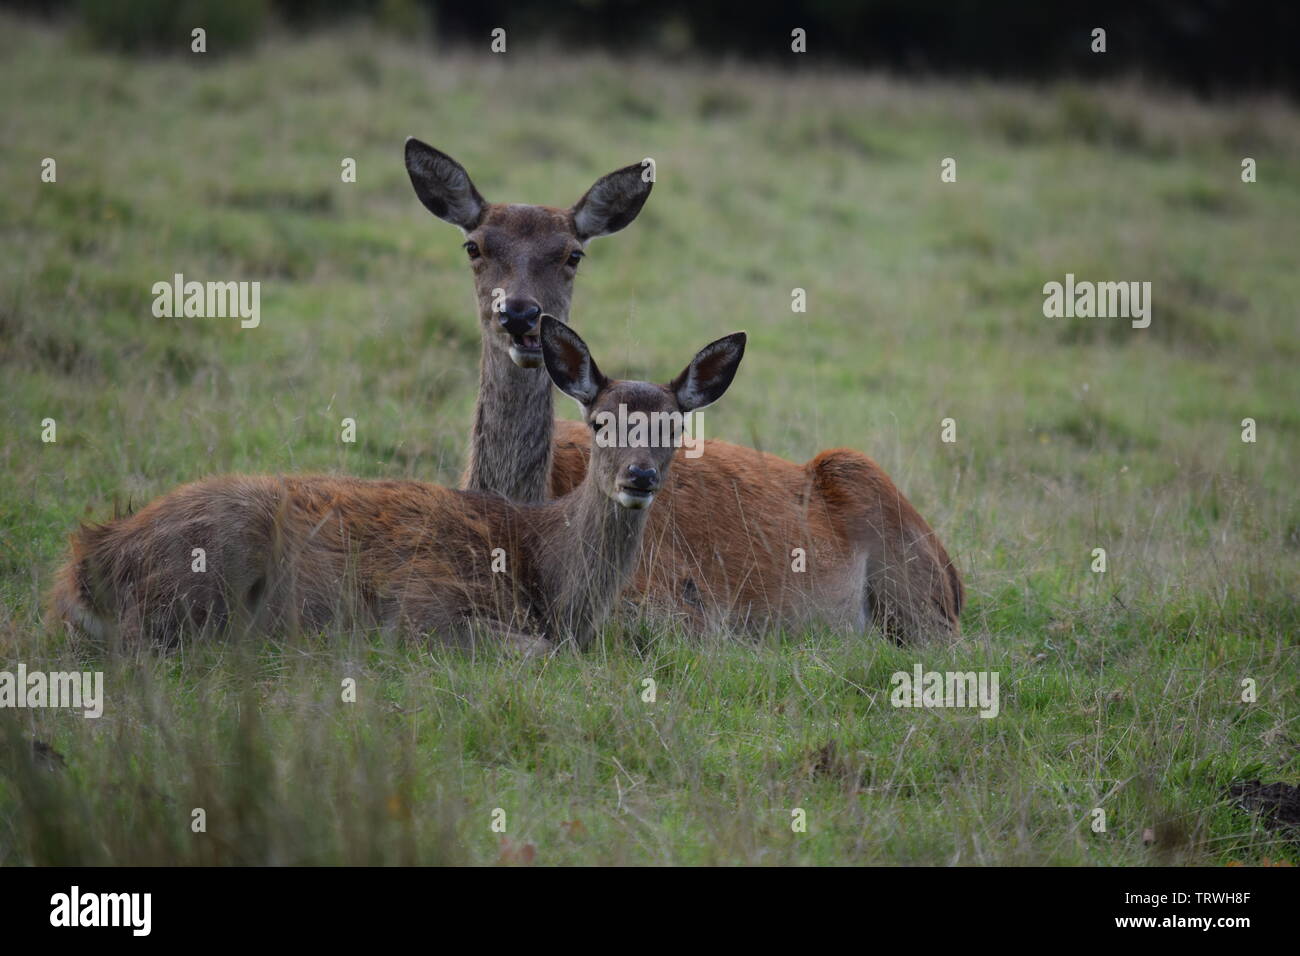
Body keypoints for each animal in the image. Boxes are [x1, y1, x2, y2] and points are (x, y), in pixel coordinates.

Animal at [50, 317, 748, 655]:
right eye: (601, 421)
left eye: (675, 426)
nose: (640, 474)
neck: (543, 575)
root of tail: (89, 562)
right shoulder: (423, 611)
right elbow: (542, 653)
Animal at [405, 140, 967, 642]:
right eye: (474, 246)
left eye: (573, 254)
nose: (520, 315)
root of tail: (956, 575)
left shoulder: (678, 605)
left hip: (911, 577)